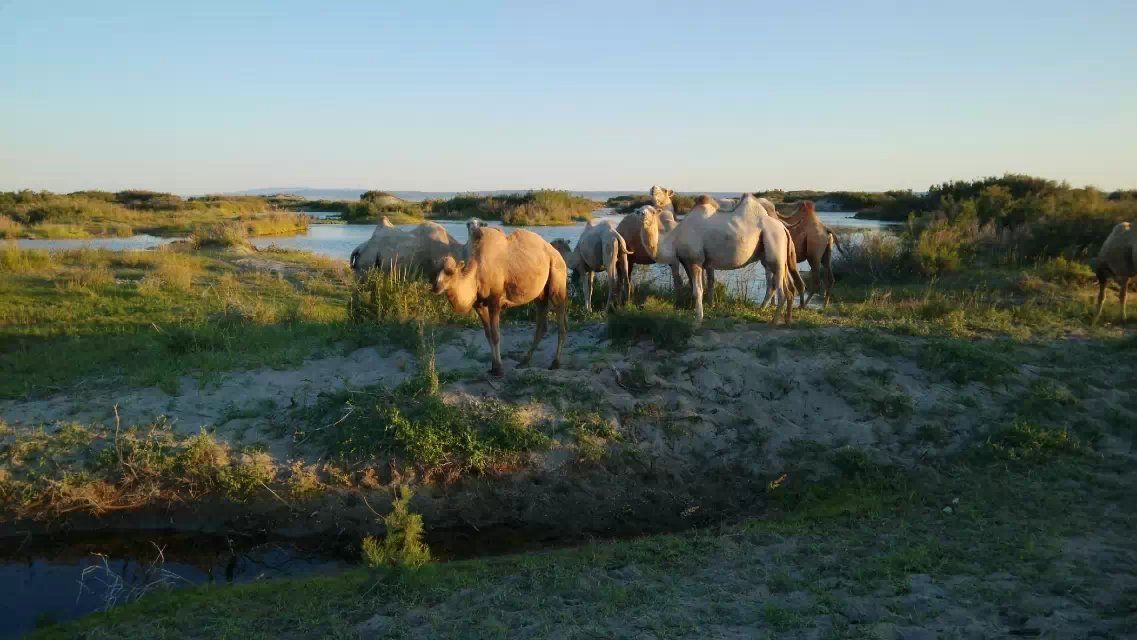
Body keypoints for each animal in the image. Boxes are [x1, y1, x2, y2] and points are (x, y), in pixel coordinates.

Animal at [429, 225, 568, 375]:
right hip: (541, 295)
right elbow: (488, 334)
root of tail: (558, 255)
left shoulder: (495, 301)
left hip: (557, 281)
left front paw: (499, 369)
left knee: (561, 324)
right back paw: (524, 362)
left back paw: (555, 363)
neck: (477, 272)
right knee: (541, 325)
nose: (435, 287)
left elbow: (496, 335)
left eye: (450, 273)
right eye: (436, 273)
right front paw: (493, 366)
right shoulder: (479, 305)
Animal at [641, 194, 800, 325]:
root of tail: (784, 228)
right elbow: (700, 287)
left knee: (781, 289)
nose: (643, 215)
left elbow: (698, 290)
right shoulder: (692, 262)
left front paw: (698, 320)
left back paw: (774, 321)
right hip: (773, 257)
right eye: (638, 211)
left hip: (775, 247)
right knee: (787, 288)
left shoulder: (695, 260)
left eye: (653, 211)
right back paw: (787, 319)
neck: (674, 238)